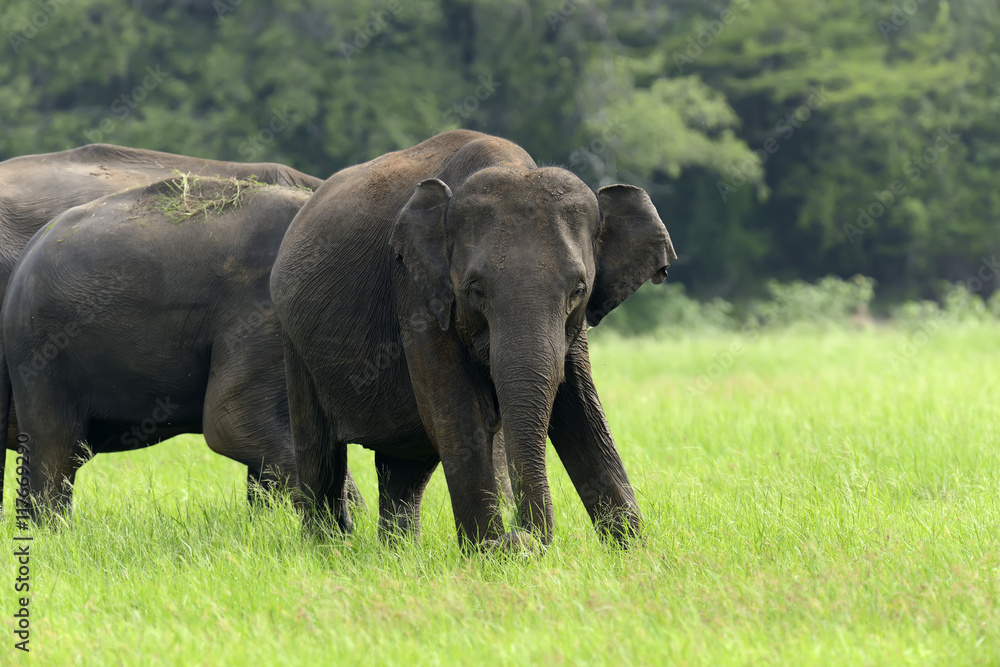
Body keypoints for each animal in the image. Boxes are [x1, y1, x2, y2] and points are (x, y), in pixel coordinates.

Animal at [270, 130, 676, 551]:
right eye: (475, 290)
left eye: (579, 290)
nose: (520, 538)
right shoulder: (417, 292)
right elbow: (464, 416)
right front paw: (489, 554)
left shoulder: (573, 328)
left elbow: (581, 414)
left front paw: (635, 553)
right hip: (294, 343)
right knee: (321, 457)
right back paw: (328, 550)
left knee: (404, 469)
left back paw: (398, 553)